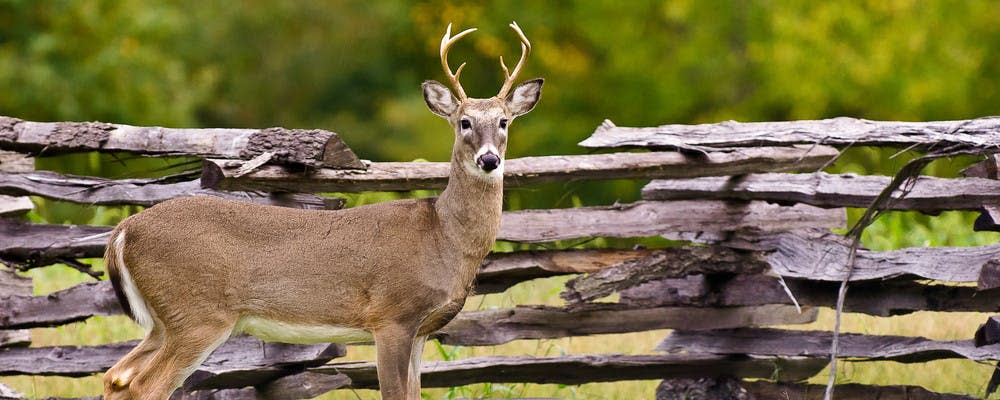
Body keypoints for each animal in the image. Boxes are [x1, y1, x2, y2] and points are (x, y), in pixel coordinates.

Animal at [97, 22, 544, 400]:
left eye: (504, 121)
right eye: (464, 122)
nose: (489, 160)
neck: (443, 236)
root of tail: (124, 231)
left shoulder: (422, 331)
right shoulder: (391, 315)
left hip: (163, 321)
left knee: (116, 377)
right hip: (197, 312)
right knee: (144, 386)